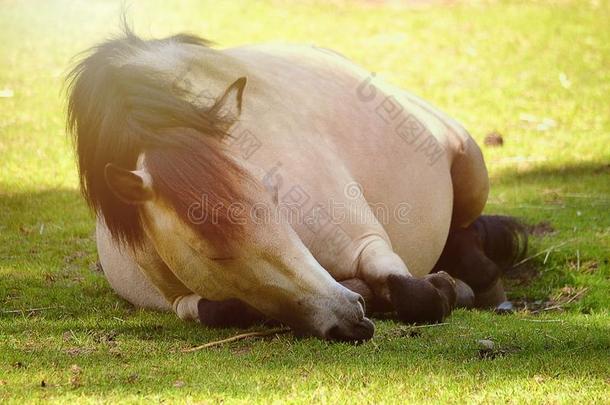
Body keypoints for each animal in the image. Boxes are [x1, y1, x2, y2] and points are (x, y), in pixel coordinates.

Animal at [65, 26, 524, 340]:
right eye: (213, 254)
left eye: (274, 199)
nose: (348, 315)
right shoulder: (184, 302)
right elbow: (221, 310)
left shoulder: (368, 244)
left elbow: (417, 295)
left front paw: (442, 289)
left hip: (470, 170)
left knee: (466, 233)